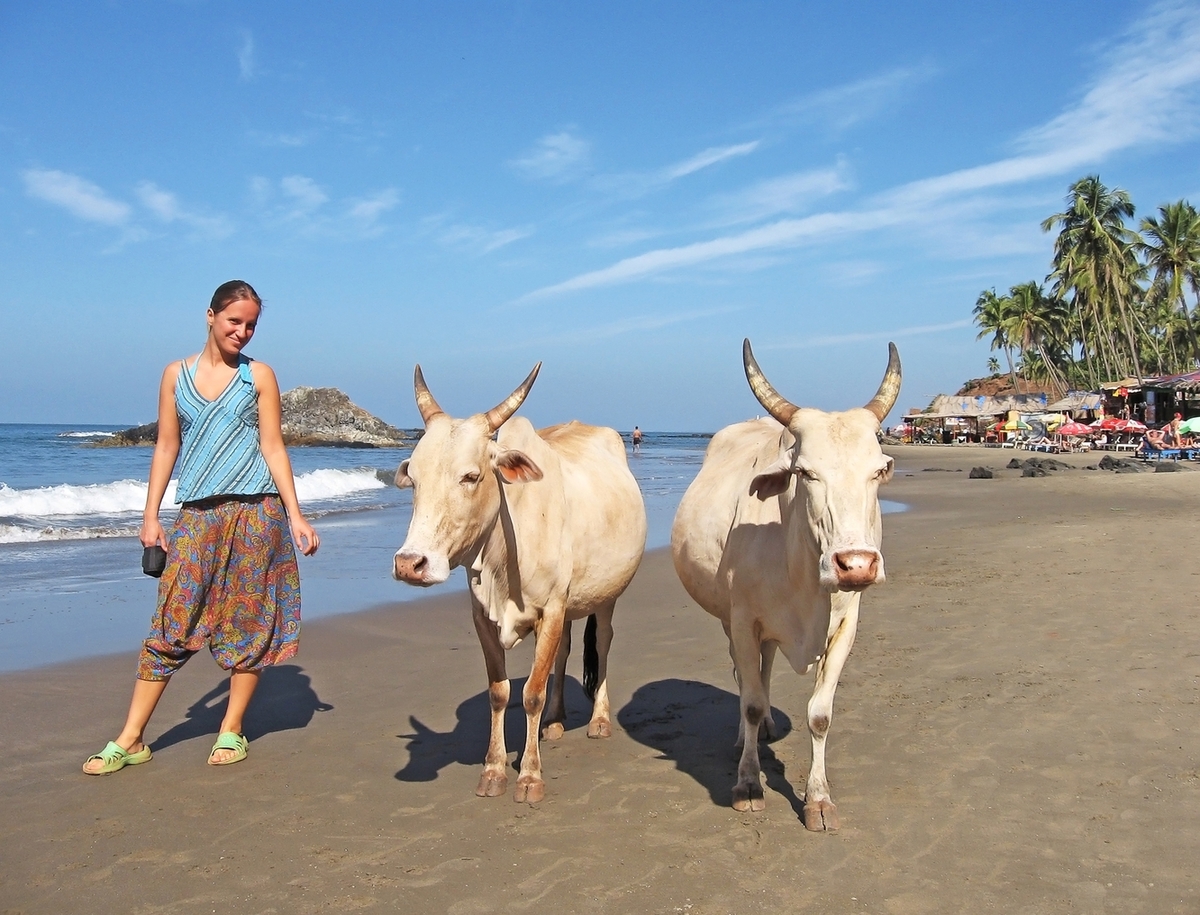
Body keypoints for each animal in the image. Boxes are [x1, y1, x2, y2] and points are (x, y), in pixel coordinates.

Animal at [391, 360, 648, 802]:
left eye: (471, 476)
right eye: (416, 478)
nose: (411, 564)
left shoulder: (552, 609)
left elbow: (531, 694)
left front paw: (529, 776)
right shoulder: (484, 617)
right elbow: (500, 693)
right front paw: (494, 770)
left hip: (606, 596)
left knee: (602, 641)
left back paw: (598, 720)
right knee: (563, 653)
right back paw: (556, 721)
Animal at [672, 336, 897, 826]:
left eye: (877, 471)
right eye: (806, 472)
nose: (856, 565)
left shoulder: (846, 627)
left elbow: (820, 714)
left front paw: (818, 798)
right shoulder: (742, 620)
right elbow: (752, 700)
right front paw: (749, 783)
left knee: (767, 665)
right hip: (728, 618)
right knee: (745, 677)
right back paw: (747, 736)